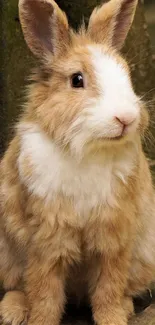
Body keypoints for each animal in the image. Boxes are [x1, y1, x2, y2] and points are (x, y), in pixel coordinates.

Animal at [0, 0, 155, 322]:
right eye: (77, 80)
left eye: (126, 75)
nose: (126, 118)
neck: (88, 149)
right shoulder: (47, 236)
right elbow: (44, 290)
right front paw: (40, 321)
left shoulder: (114, 232)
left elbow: (109, 285)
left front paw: (113, 319)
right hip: (6, 254)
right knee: (18, 286)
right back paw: (11, 311)